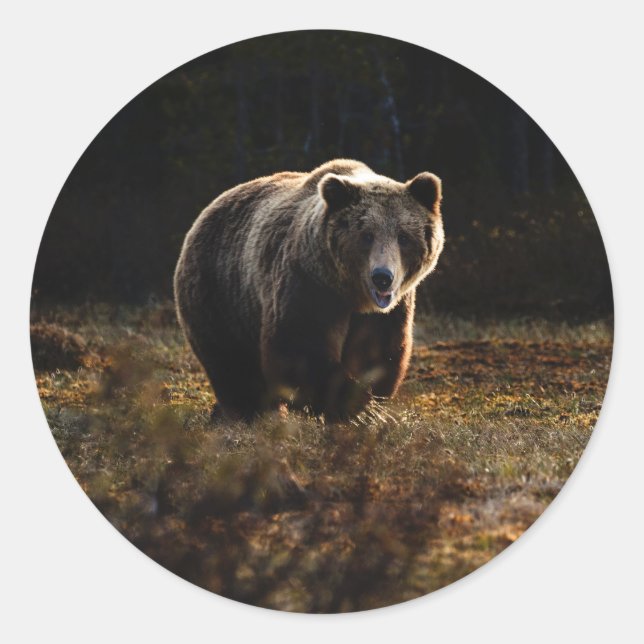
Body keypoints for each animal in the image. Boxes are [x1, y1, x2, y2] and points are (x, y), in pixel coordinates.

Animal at [174, 159, 444, 421]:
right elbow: (299, 347)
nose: (382, 278)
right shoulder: (308, 284)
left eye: (403, 237)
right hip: (220, 293)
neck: (351, 294)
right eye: (366, 235)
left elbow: (378, 352)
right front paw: (356, 406)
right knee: (231, 363)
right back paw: (249, 412)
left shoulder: (388, 311)